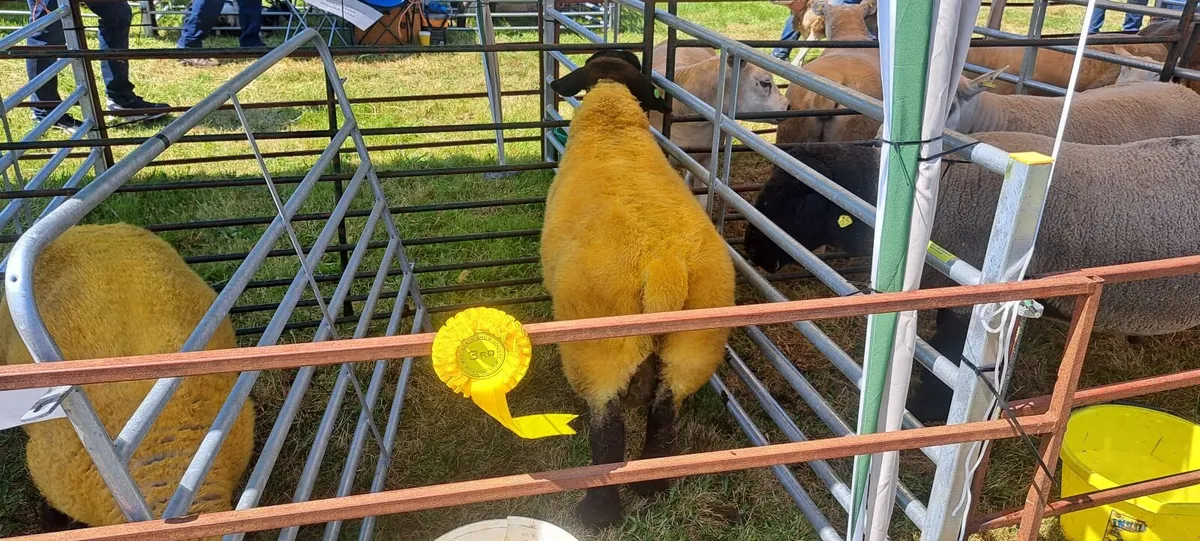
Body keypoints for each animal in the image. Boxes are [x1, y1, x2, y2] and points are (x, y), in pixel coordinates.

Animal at [546, 51, 736, 528]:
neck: (613, 120)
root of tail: (664, 264)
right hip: (694, 344)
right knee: (665, 411)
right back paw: (652, 485)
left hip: (599, 349)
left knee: (608, 429)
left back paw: (599, 511)